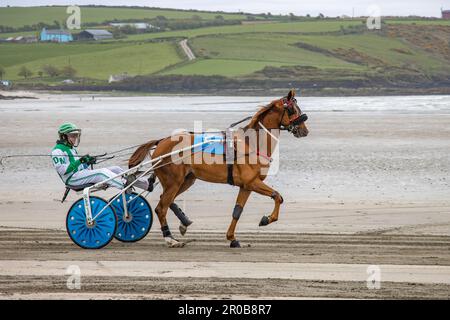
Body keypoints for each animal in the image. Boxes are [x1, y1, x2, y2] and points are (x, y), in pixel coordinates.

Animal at [128, 90, 308, 248]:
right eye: (292, 109)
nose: (304, 130)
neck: (252, 144)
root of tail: (162, 141)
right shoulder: (252, 182)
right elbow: (277, 196)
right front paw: (267, 219)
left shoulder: (246, 186)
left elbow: (237, 211)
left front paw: (232, 238)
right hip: (174, 182)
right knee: (161, 208)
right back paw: (170, 239)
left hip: (187, 180)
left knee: (166, 201)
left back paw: (184, 223)